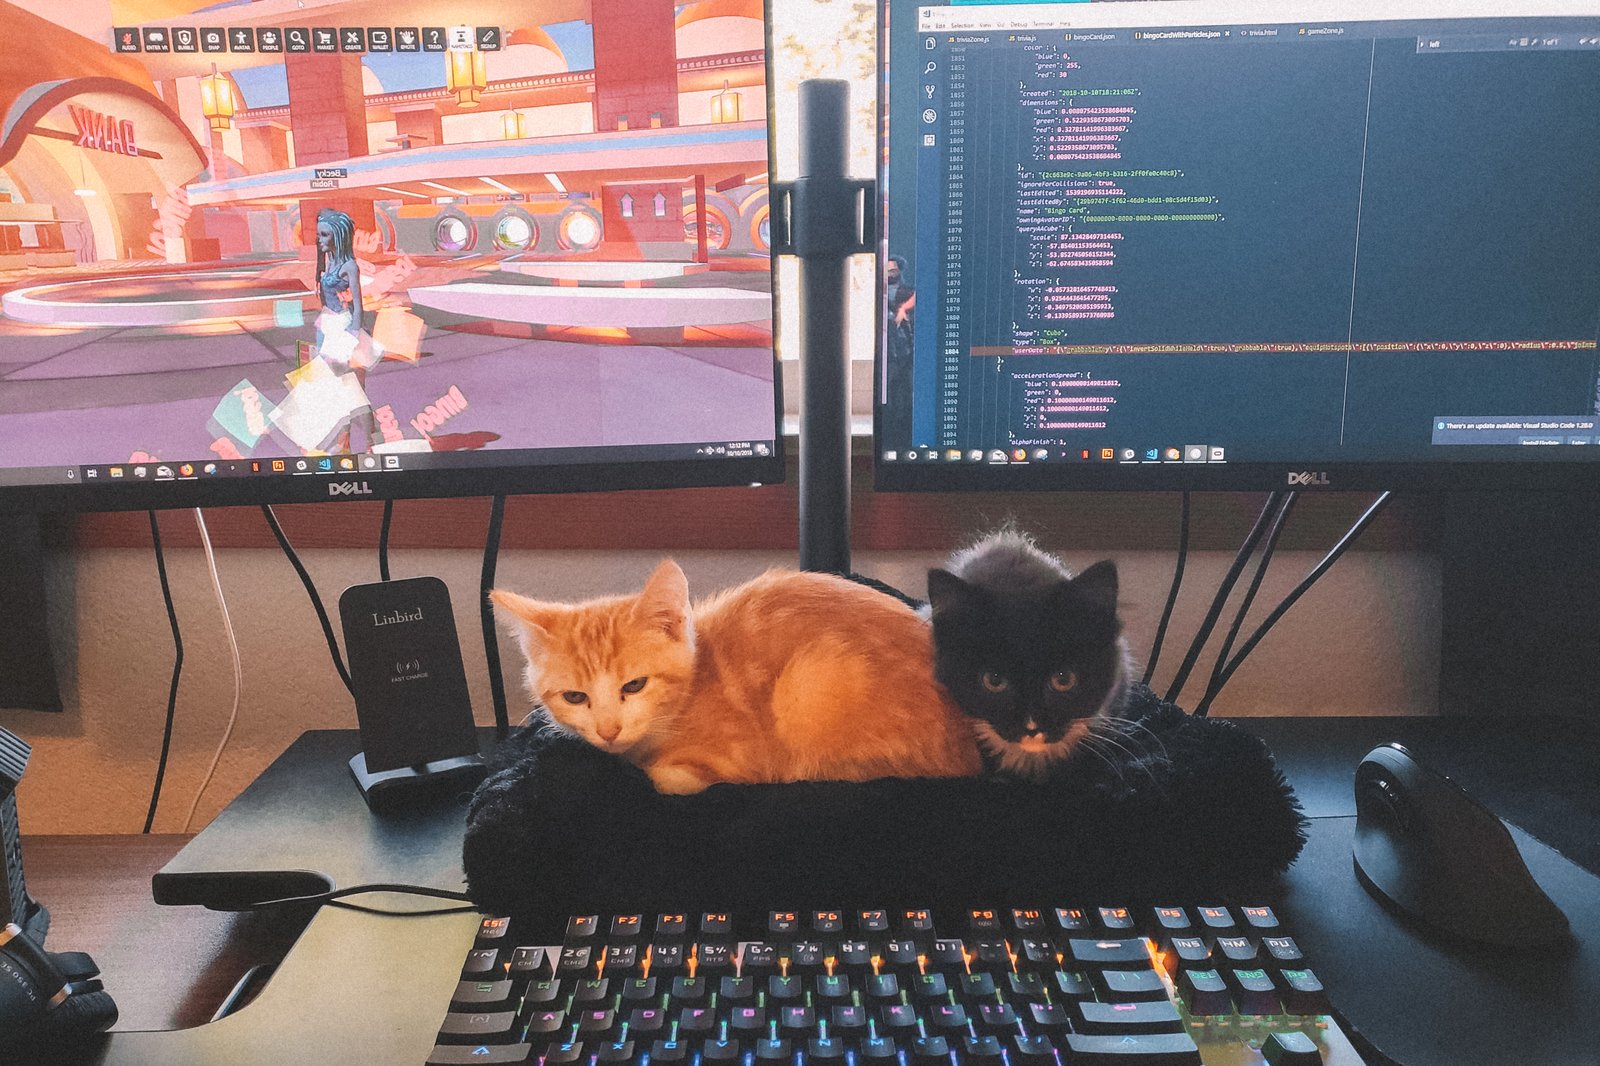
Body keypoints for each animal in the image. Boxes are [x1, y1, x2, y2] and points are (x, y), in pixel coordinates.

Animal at [492, 560, 979, 793]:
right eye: (575, 697)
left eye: (634, 685)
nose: (608, 730)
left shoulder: (735, 759)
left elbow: (665, 778)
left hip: (809, 688)